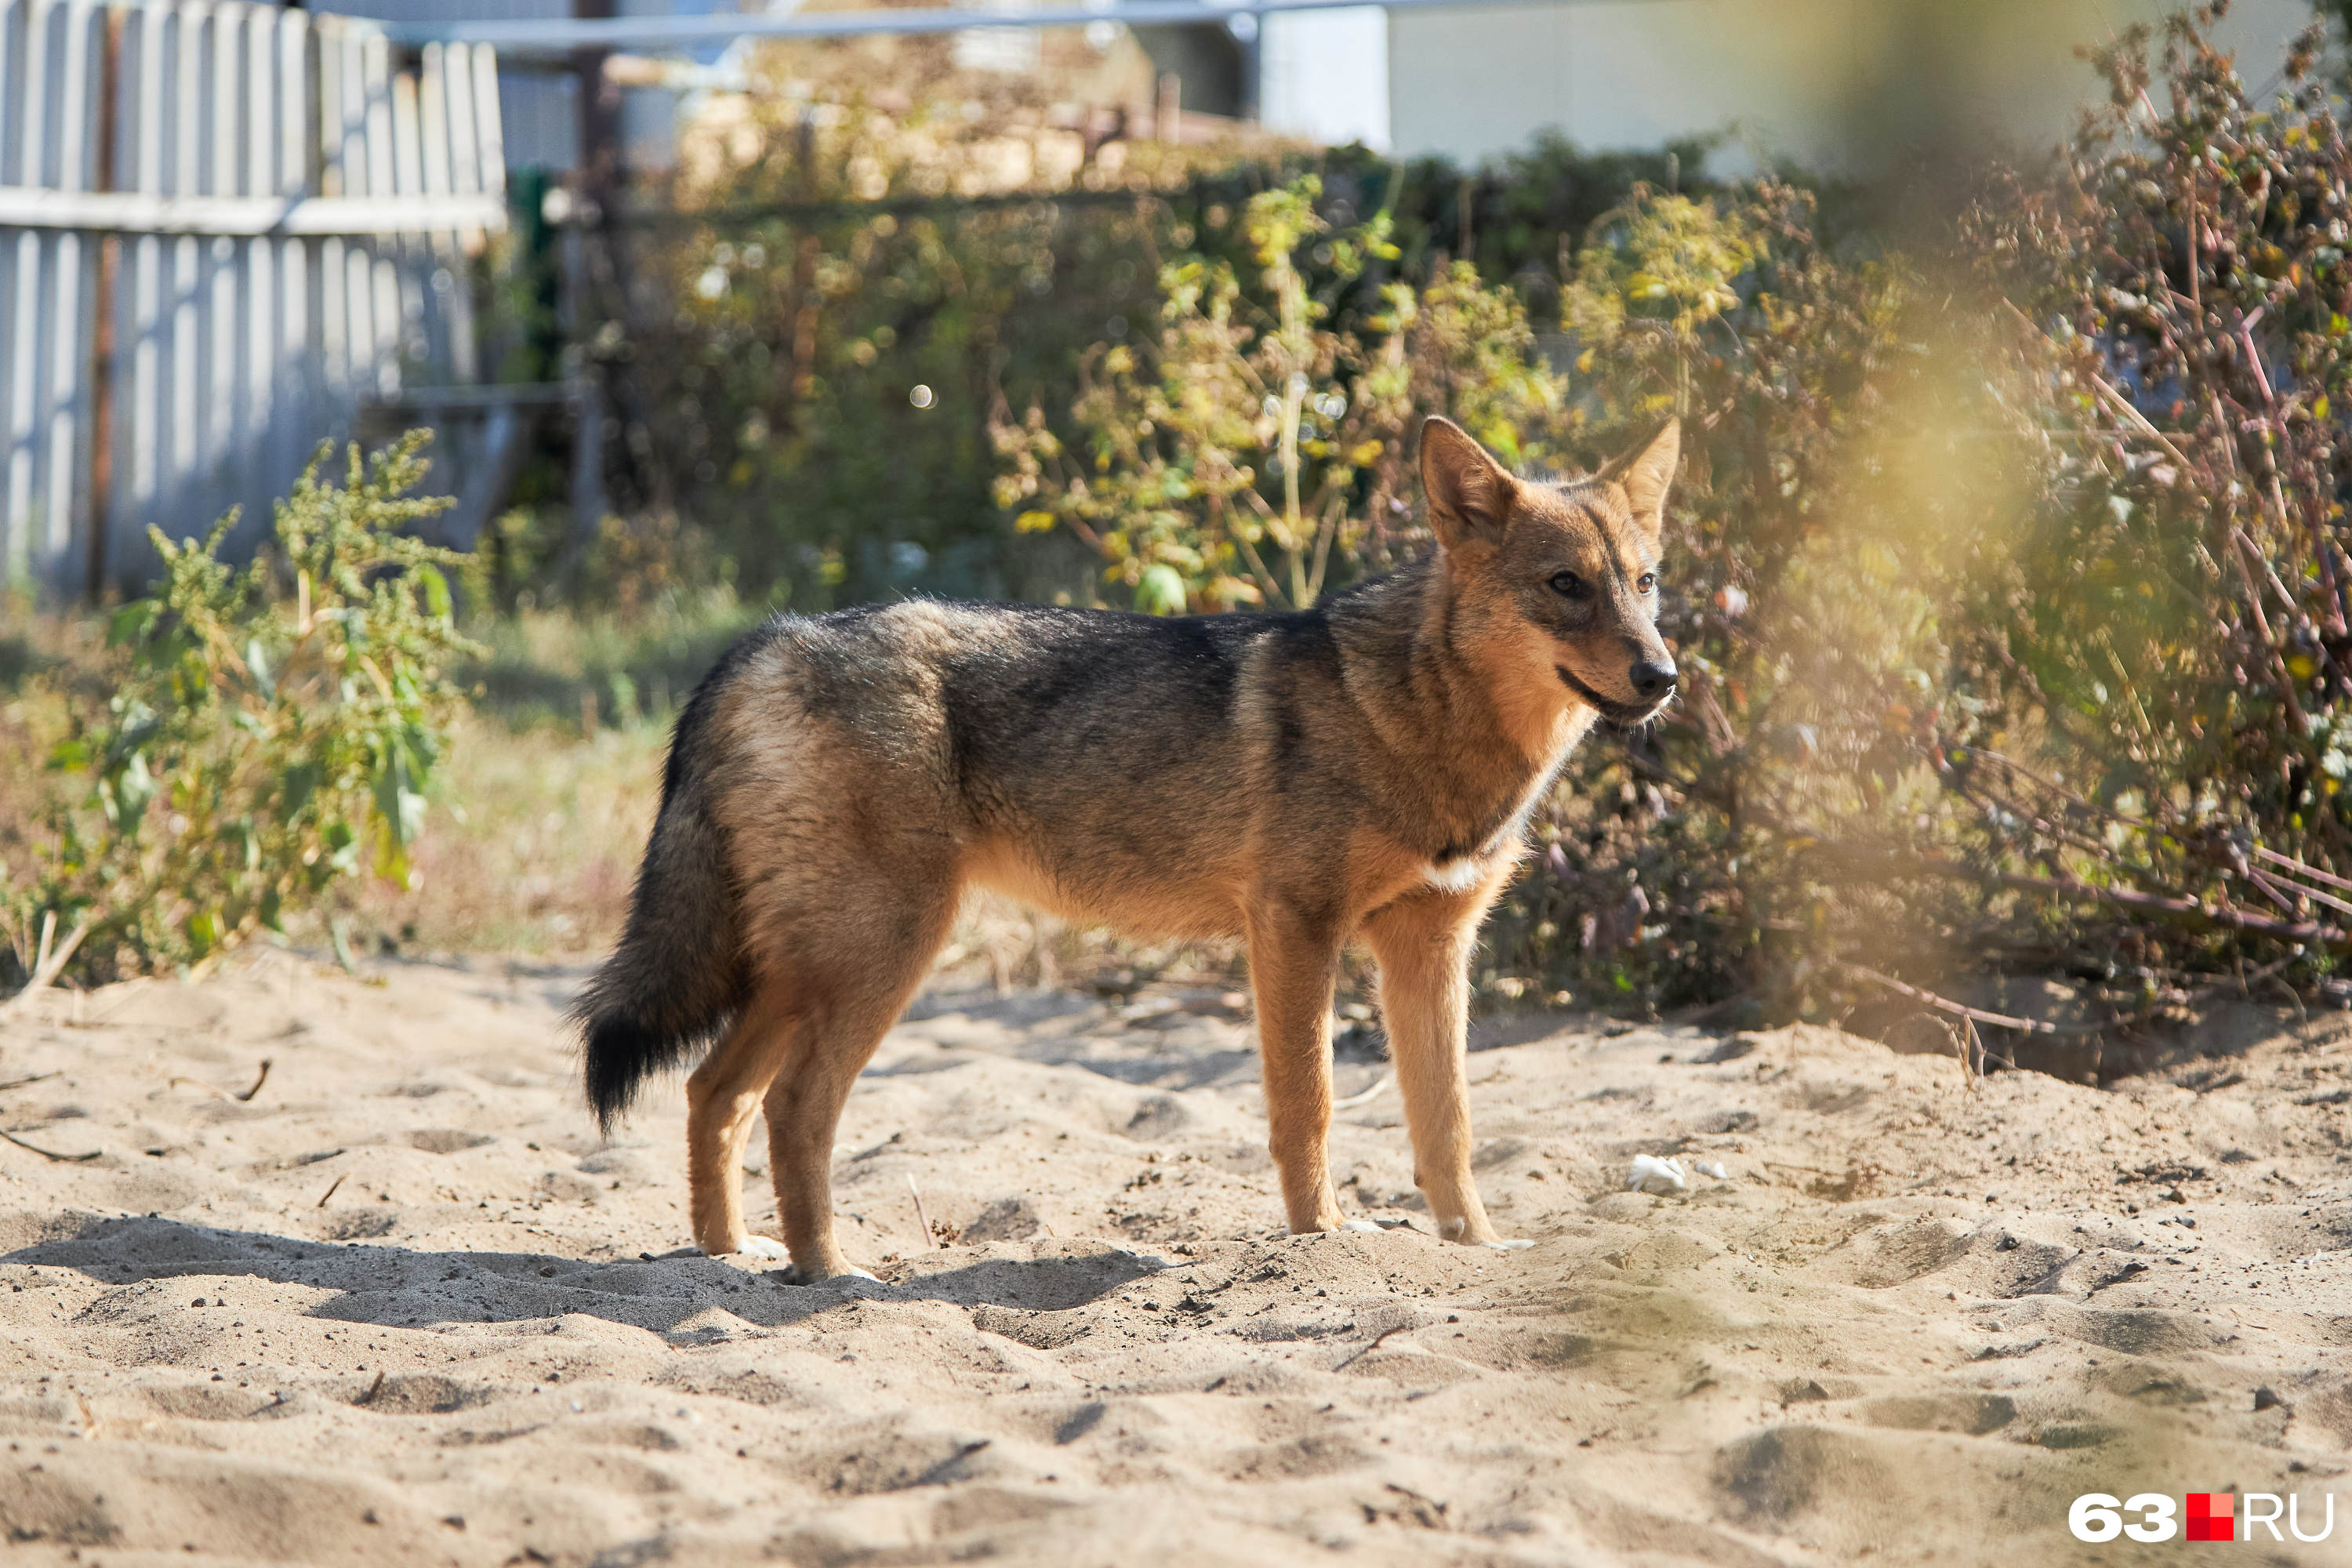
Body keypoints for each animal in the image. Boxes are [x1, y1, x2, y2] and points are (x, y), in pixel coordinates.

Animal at [572, 413, 1684, 1279]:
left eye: (1644, 582)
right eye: (1565, 585)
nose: (1663, 676)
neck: (1421, 720)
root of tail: (767, 637)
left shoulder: (1433, 949)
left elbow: (1448, 1126)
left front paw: (1475, 1248)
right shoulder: (1294, 930)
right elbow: (1311, 1109)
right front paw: (1322, 1239)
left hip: (810, 970)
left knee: (715, 1091)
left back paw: (732, 1254)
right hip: (879, 957)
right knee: (792, 1108)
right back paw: (831, 1272)